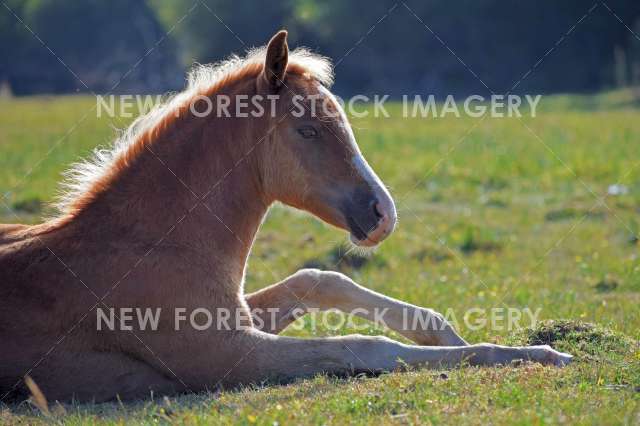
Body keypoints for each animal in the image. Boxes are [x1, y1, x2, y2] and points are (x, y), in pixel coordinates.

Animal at [0, 30, 572, 402]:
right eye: (308, 129)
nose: (382, 213)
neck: (148, 243)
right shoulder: (228, 355)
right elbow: (362, 347)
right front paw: (536, 354)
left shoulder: (239, 321)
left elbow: (318, 279)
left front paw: (452, 335)